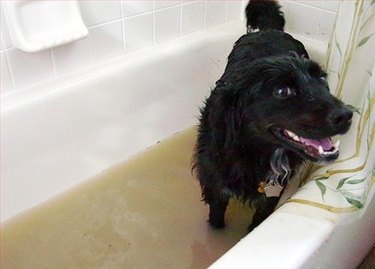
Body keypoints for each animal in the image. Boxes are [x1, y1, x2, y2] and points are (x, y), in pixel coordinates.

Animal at [192, 0, 354, 230]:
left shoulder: (273, 194)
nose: (346, 115)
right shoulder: (215, 184)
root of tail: (270, 30)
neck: (252, 151)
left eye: (322, 80)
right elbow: (216, 219)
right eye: (282, 91)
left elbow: (257, 221)